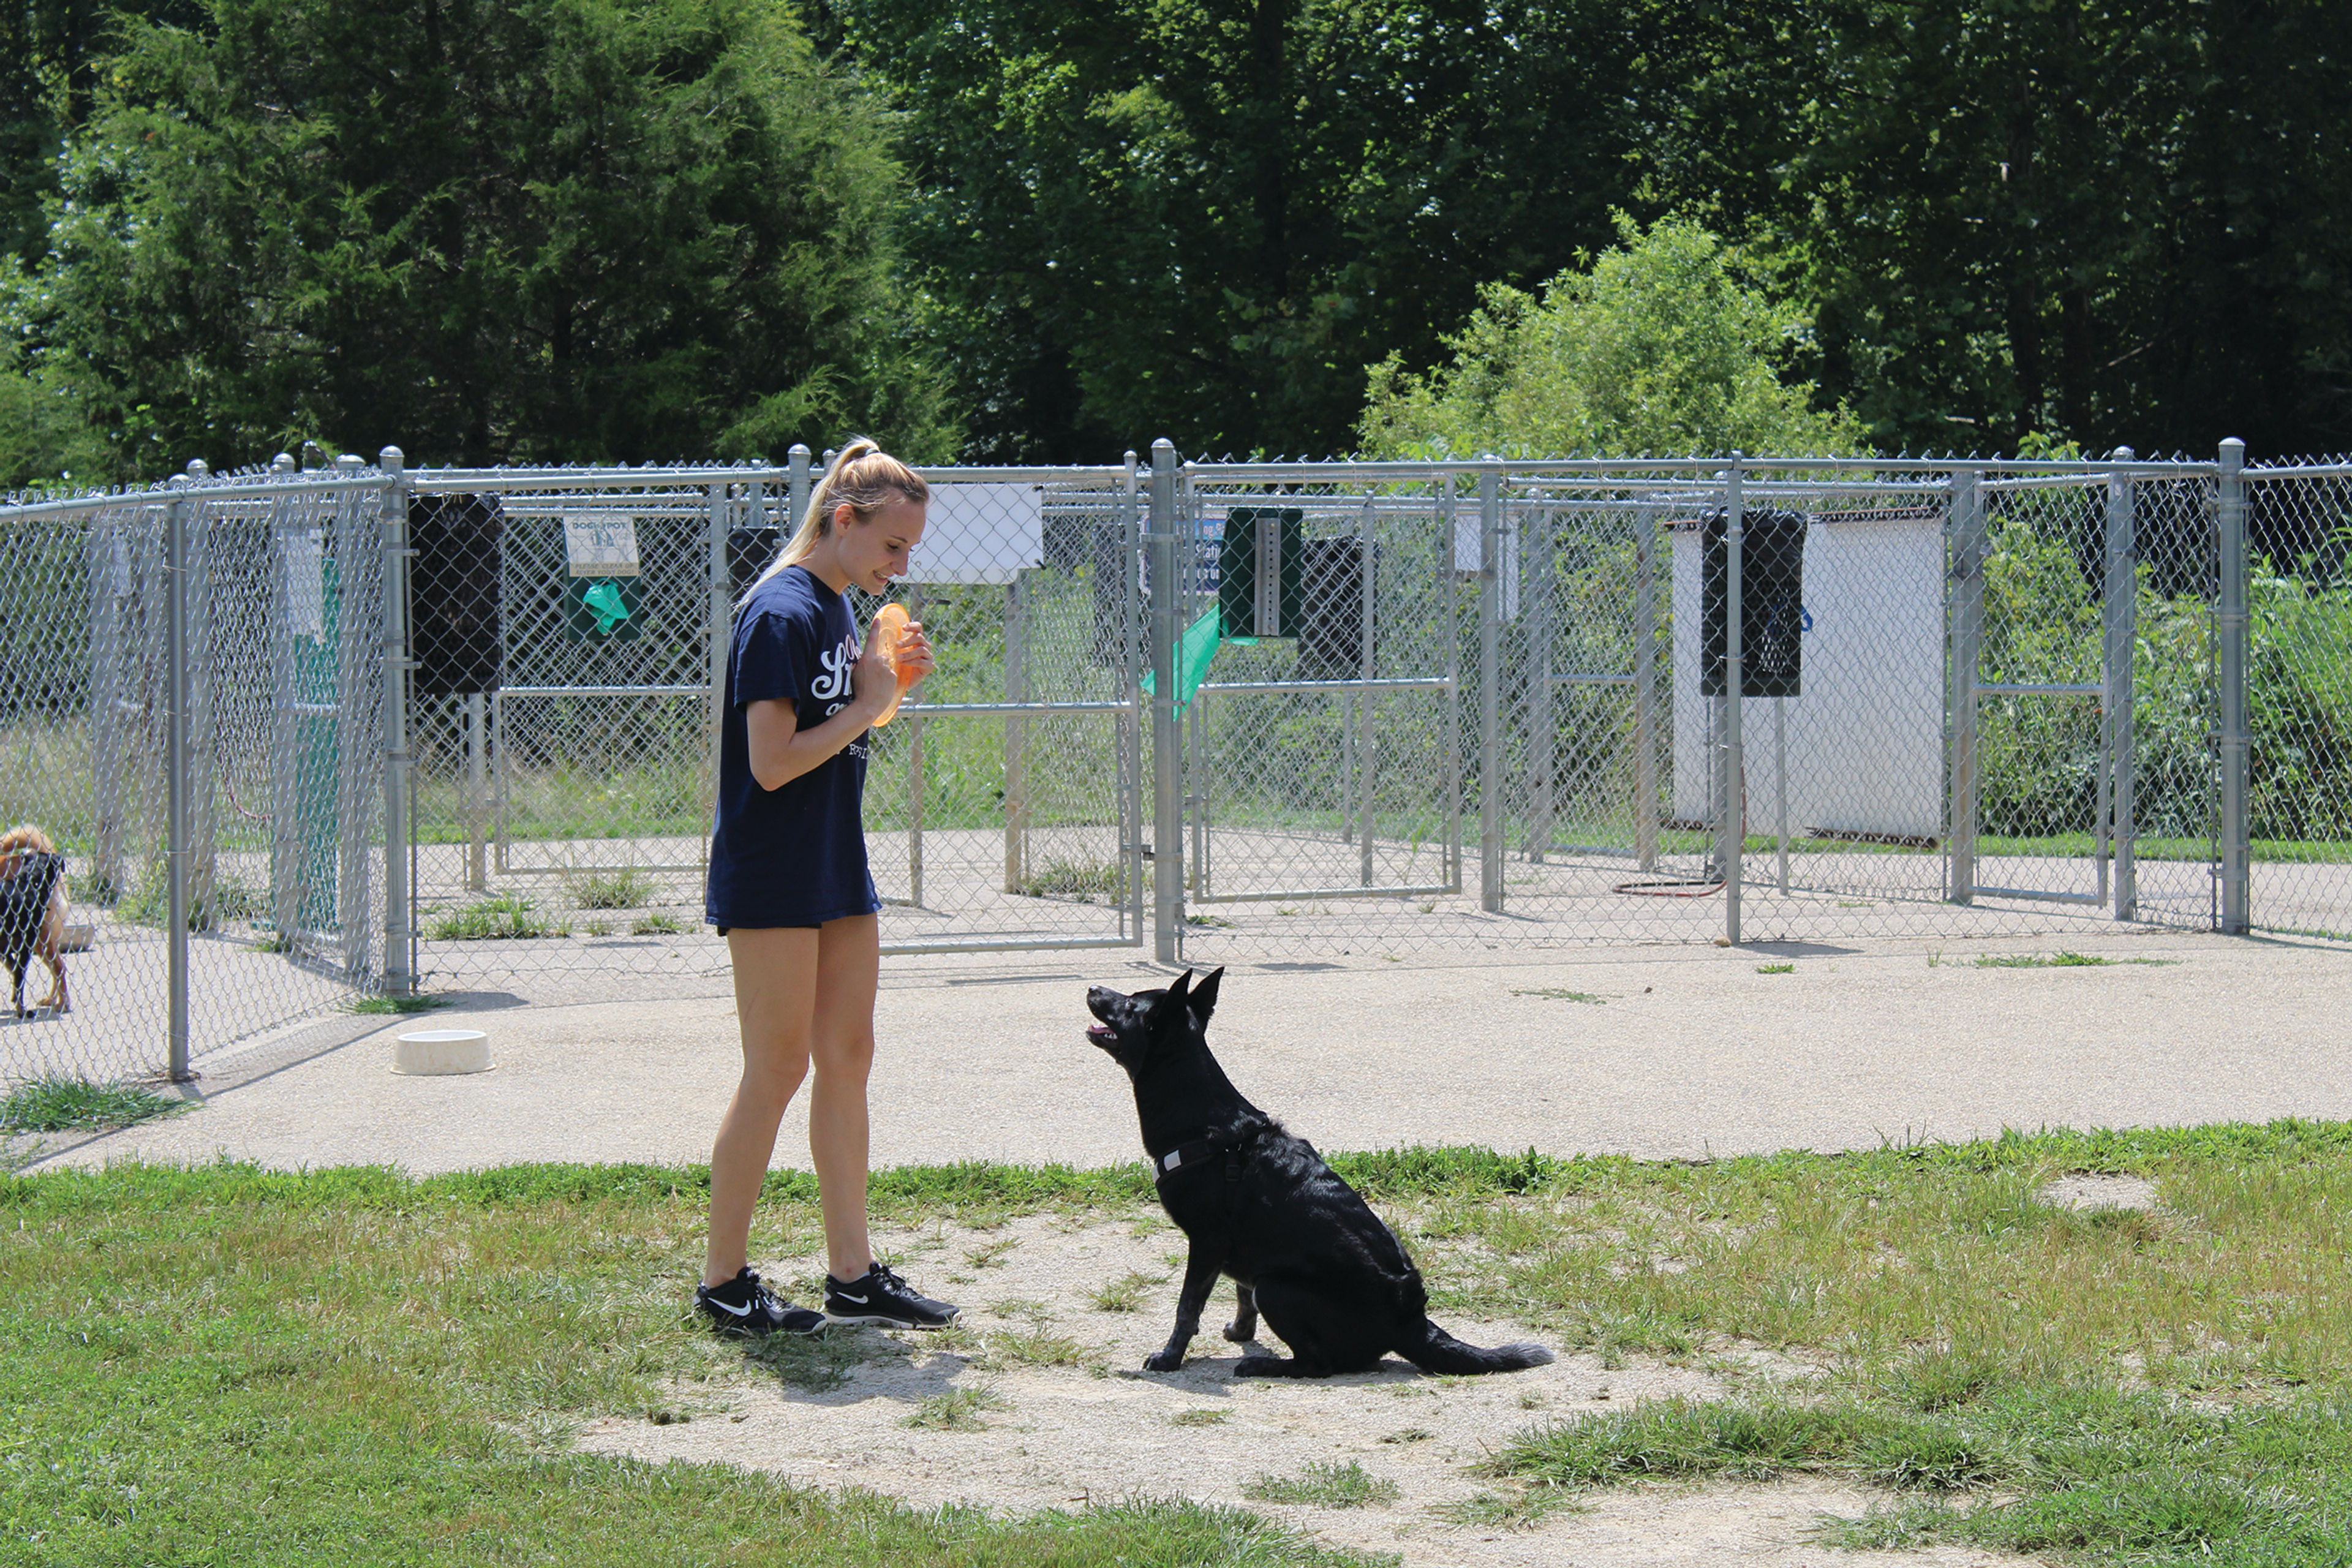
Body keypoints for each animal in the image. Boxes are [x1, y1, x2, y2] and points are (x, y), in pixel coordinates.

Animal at [1077, 963, 1552, 1382]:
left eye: (1131, 1004)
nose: (1093, 987)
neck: (1203, 1119)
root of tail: (1411, 1320)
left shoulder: (1207, 1242)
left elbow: (1188, 1306)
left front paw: (1171, 1357)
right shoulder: (1240, 1251)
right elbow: (1241, 1294)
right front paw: (1242, 1333)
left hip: (1277, 1287)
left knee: (1319, 1364)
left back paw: (1266, 1366)